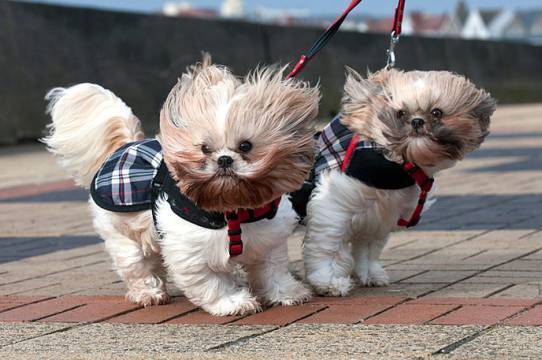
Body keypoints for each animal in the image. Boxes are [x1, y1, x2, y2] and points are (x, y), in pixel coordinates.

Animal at [45, 55, 324, 316]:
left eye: (246, 146)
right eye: (205, 148)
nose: (224, 159)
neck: (232, 211)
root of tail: (125, 146)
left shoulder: (268, 242)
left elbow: (271, 271)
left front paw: (287, 293)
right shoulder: (191, 251)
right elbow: (212, 283)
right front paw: (233, 302)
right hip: (121, 233)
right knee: (137, 265)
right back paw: (149, 293)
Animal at [300, 67, 500, 296]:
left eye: (437, 112)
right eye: (401, 113)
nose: (417, 121)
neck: (397, 164)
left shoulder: (378, 217)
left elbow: (369, 250)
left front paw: (370, 274)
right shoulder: (333, 207)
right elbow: (328, 248)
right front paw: (328, 281)